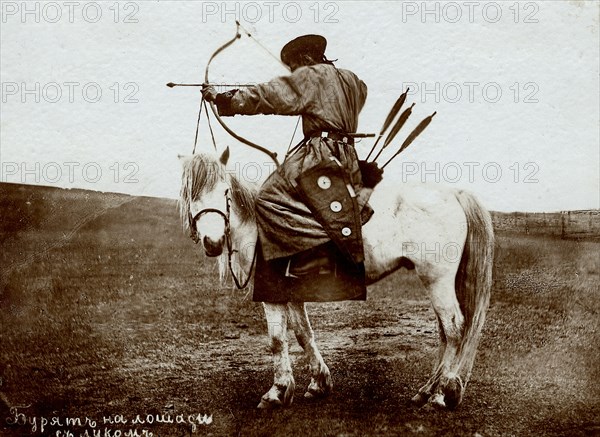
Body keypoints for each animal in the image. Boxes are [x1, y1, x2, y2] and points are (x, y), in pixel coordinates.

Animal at [177, 149, 492, 408]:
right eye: (192, 196)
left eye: (225, 192)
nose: (213, 242)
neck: (260, 229)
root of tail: (455, 194)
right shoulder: (291, 291)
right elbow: (303, 333)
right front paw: (318, 383)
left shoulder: (272, 292)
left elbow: (277, 339)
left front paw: (277, 392)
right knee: (445, 333)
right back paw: (428, 390)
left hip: (437, 280)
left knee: (454, 329)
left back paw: (439, 395)